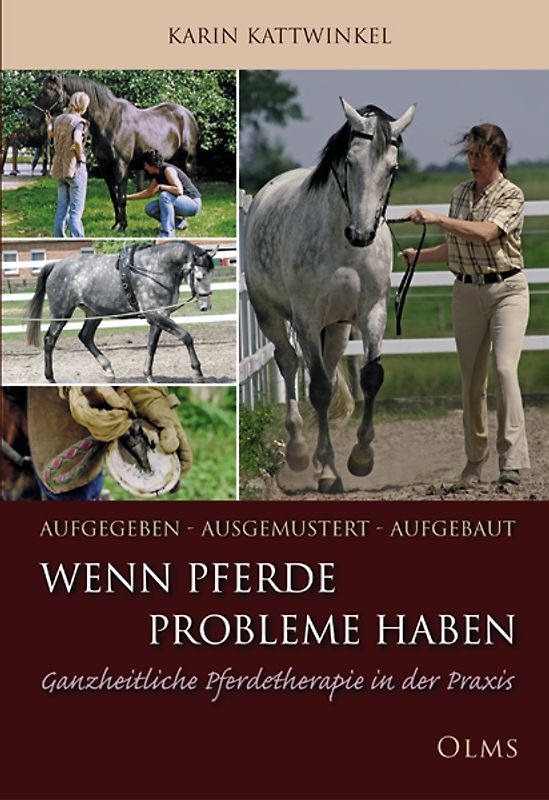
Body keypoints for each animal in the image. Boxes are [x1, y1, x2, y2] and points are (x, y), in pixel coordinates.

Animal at [26, 241, 217, 384]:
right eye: (199, 277)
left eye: (211, 276)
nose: (205, 306)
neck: (156, 269)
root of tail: (56, 265)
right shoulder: (155, 315)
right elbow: (186, 337)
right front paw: (197, 373)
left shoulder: (159, 317)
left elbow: (151, 346)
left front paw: (148, 376)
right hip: (62, 313)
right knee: (50, 340)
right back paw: (50, 377)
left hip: (94, 313)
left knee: (85, 336)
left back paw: (108, 370)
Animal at [28, 73, 199, 231]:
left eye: (45, 92)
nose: (31, 121)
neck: (109, 122)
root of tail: (187, 114)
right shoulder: (105, 168)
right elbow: (114, 196)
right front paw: (116, 224)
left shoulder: (121, 166)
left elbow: (121, 197)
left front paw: (123, 226)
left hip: (187, 161)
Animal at [244, 98, 416, 493]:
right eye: (350, 162)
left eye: (393, 168)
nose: (362, 234)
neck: (344, 247)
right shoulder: (307, 318)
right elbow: (320, 388)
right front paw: (326, 472)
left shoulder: (371, 313)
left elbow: (371, 377)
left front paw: (361, 458)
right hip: (270, 315)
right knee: (289, 363)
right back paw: (299, 451)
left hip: (337, 326)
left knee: (330, 364)